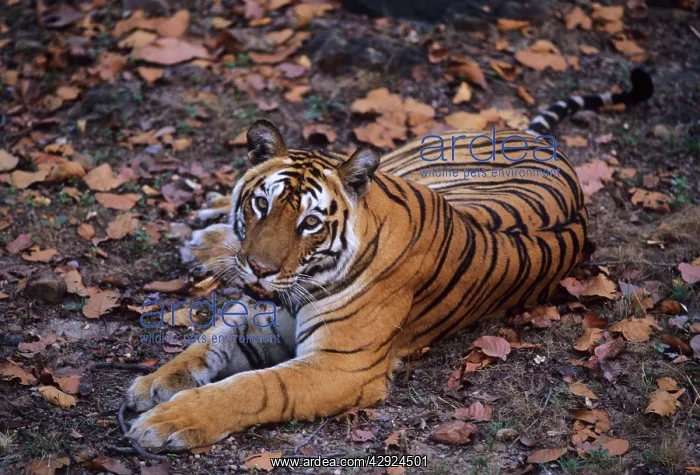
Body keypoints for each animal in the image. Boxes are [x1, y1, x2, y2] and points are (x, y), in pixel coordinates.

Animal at [126, 69, 653, 449]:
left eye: (310, 223)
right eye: (262, 204)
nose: (258, 268)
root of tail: (540, 141)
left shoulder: (341, 367)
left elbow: (252, 388)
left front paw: (167, 420)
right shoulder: (260, 313)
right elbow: (206, 343)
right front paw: (152, 385)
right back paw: (204, 231)